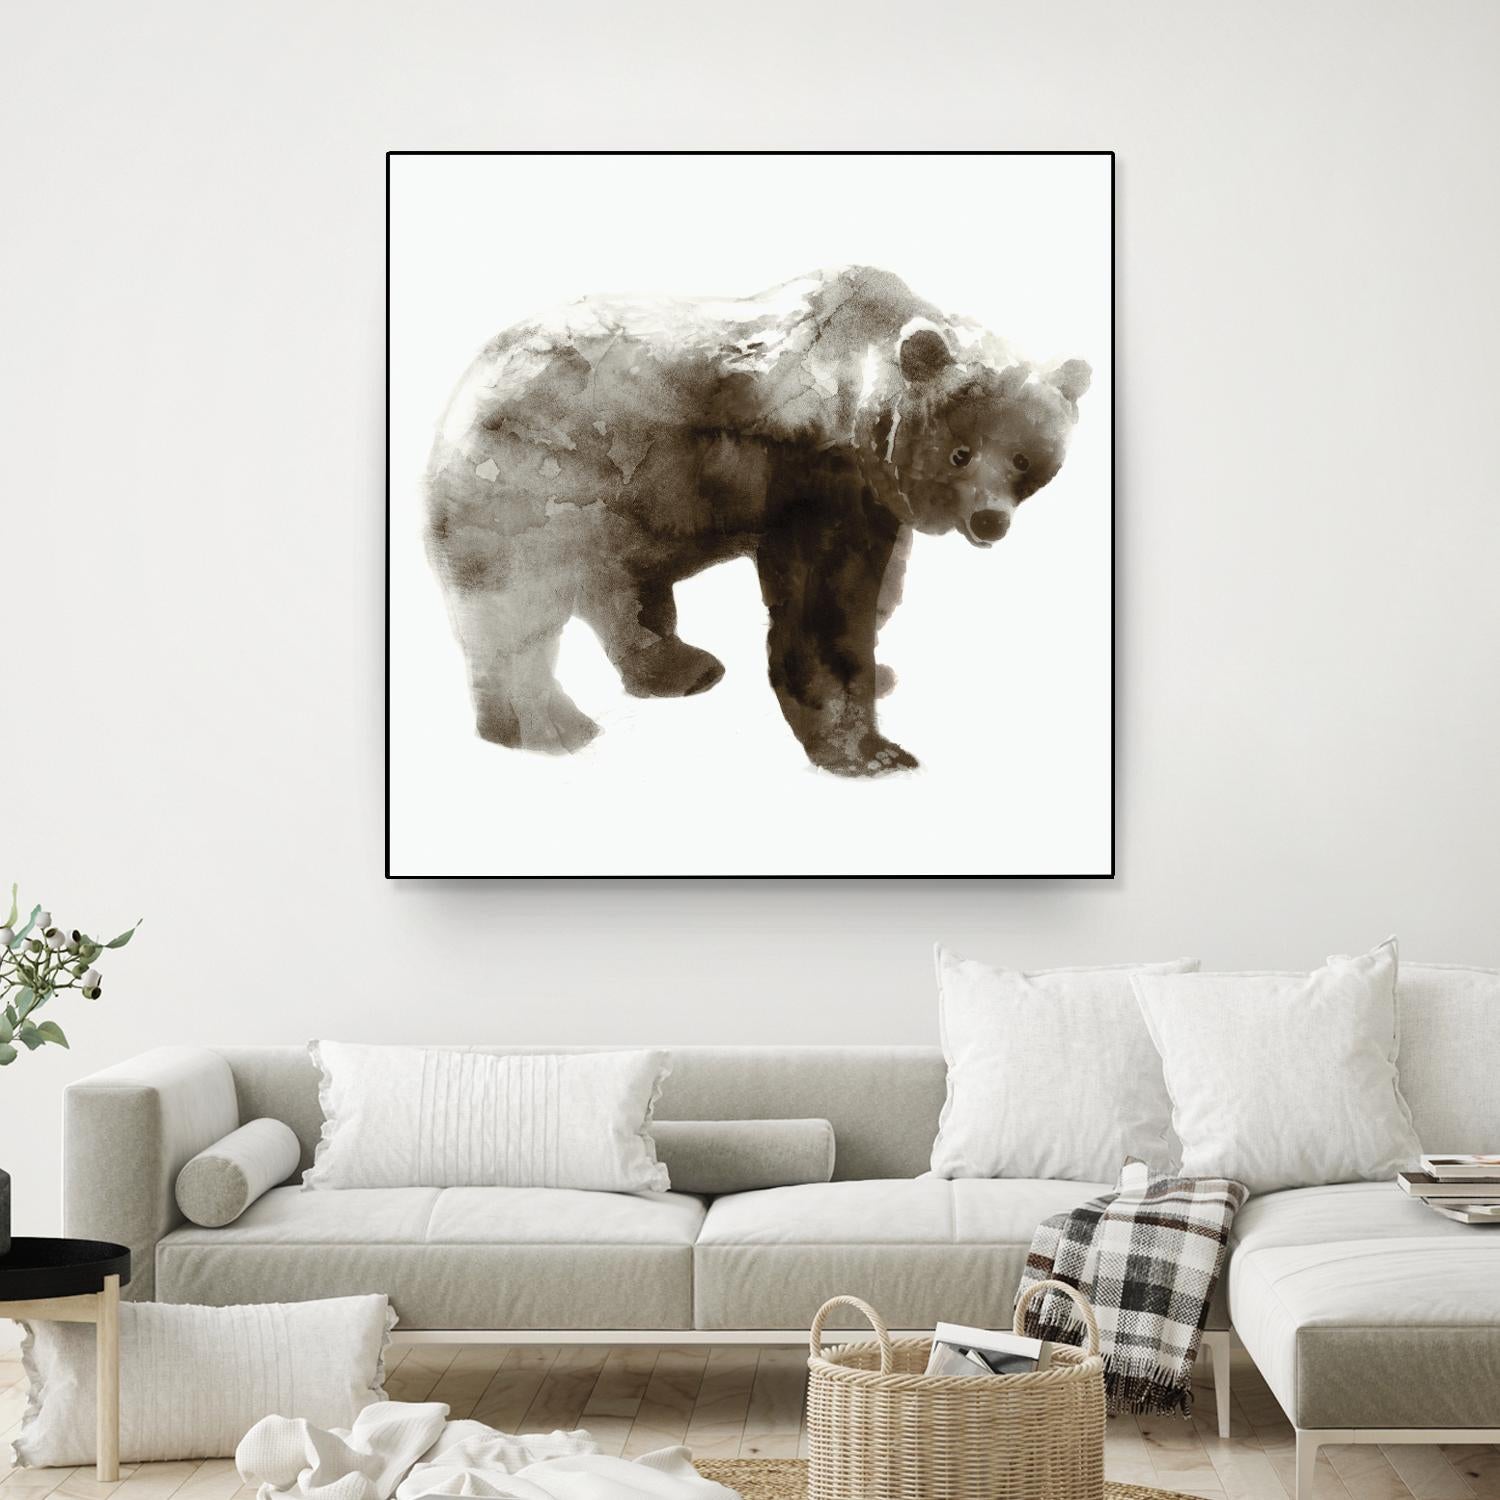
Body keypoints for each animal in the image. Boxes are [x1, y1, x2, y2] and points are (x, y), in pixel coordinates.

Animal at [423, 266, 1091, 777]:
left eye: (1025, 459)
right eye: (961, 452)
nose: (990, 520)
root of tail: (463, 388)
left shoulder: (875, 496)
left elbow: (882, 587)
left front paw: (882, 673)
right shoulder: (812, 474)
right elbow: (824, 607)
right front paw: (873, 751)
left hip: (624, 512)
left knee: (621, 592)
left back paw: (681, 668)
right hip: (539, 483)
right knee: (518, 608)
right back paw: (548, 728)